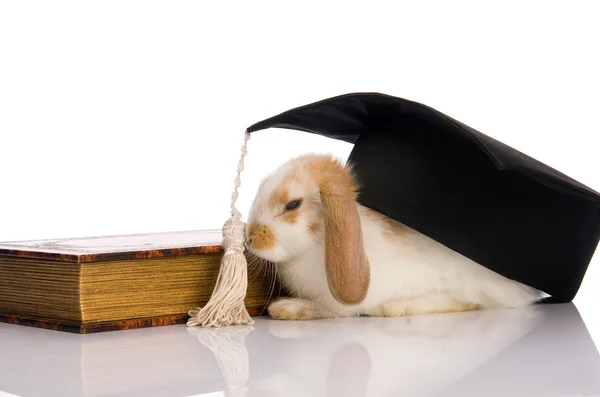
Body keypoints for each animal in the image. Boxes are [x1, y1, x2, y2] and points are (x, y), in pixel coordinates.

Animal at [244, 153, 548, 320]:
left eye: (292, 205)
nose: (250, 239)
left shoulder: (341, 305)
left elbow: (328, 310)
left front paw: (287, 309)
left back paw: (391, 309)